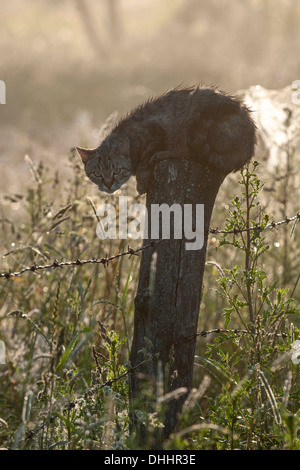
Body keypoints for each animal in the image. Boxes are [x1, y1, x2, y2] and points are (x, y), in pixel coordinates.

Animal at [76, 85, 256, 194]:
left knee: (192, 154)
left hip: (197, 127)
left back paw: (162, 154)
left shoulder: (156, 130)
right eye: (97, 173)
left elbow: (144, 163)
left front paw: (141, 183)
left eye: (117, 170)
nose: (108, 184)